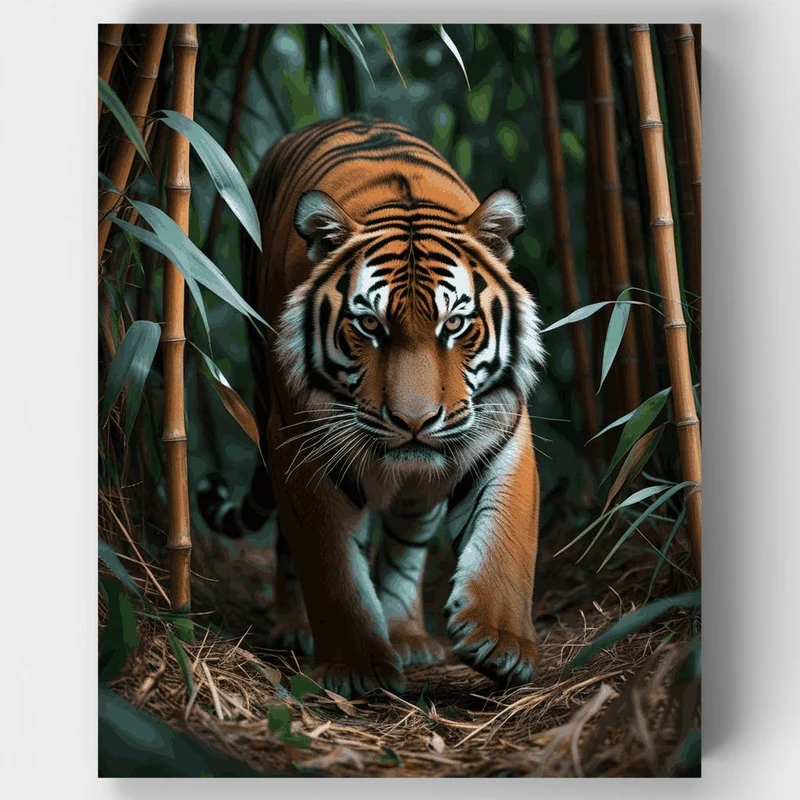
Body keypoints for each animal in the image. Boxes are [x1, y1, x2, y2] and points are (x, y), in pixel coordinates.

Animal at [199, 116, 546, 699]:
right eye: (369, 326)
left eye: (455, 324)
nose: (414, 423)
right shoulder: (303, 446)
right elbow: (332, 565)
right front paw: (356, 666)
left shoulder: (502, 427)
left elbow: (508, 535)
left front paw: (502, 643)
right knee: (293, 547)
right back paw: (295, 627)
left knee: (407, 541)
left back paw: (408, 635)